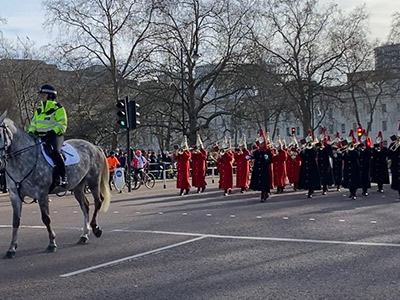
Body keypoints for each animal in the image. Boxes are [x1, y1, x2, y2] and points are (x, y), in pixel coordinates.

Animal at [0, 111, 110, 258]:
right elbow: (15, 221)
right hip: (78, 186)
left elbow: (46, 218)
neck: (22, 160)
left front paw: (52, 243)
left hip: (93, 181)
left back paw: (96, 228)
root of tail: (94, 146)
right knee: (85, 206)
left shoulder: (41, 194)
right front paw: (12, 248)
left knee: (98, 201)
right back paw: (84, 235)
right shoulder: (14, 196)